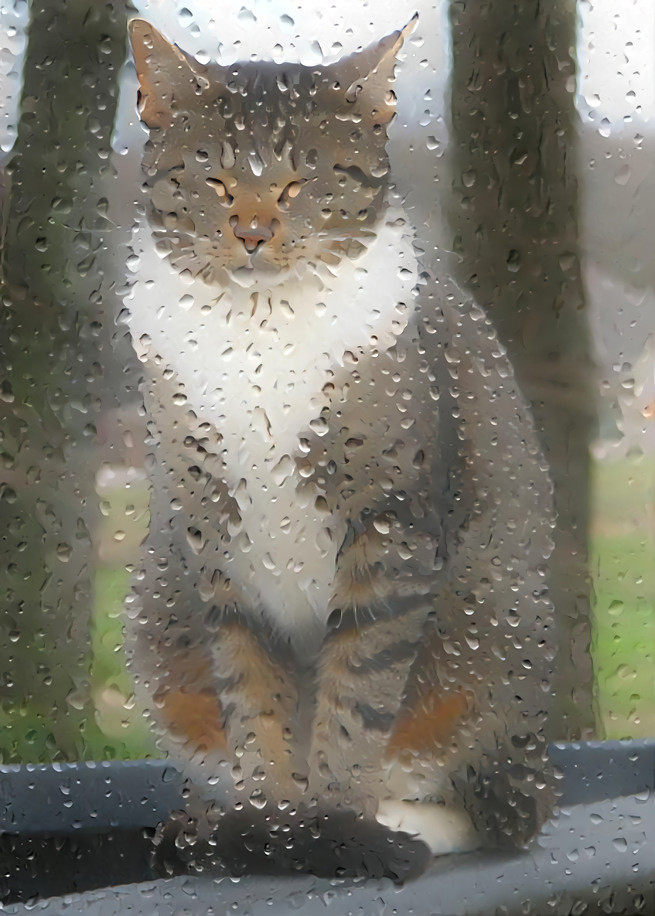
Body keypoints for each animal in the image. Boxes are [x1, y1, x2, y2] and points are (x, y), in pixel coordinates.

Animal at [124, 16, 560, 880]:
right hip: (158, 617)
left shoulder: (389, 529)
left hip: (492, 628)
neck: (257, 335)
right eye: (214, 178)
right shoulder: (215, 537)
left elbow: (356, 693)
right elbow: (250, 693)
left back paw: (401, 821)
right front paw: (270, 825)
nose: (254, 230)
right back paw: (209, 823)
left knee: (495, 806)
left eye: (301, 180)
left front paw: (334, 825)